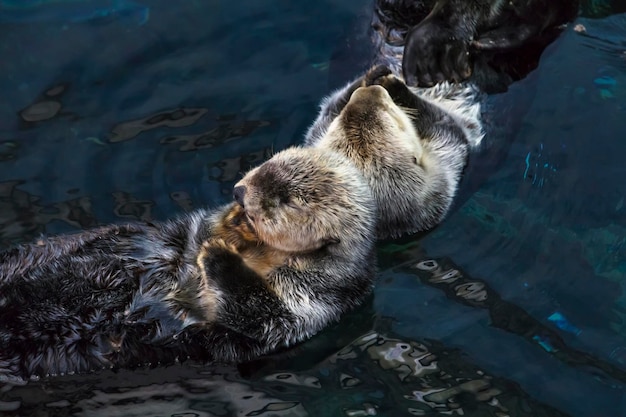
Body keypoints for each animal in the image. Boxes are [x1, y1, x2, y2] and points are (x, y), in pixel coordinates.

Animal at [0, 145, 372, 380]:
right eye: (265, 164)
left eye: (285, 200)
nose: (239, 193)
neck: (264, 255)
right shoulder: (191, 233)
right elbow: (196, 231)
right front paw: (228, 223)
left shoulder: (314, 302)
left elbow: (261, 316)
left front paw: (219, 254)